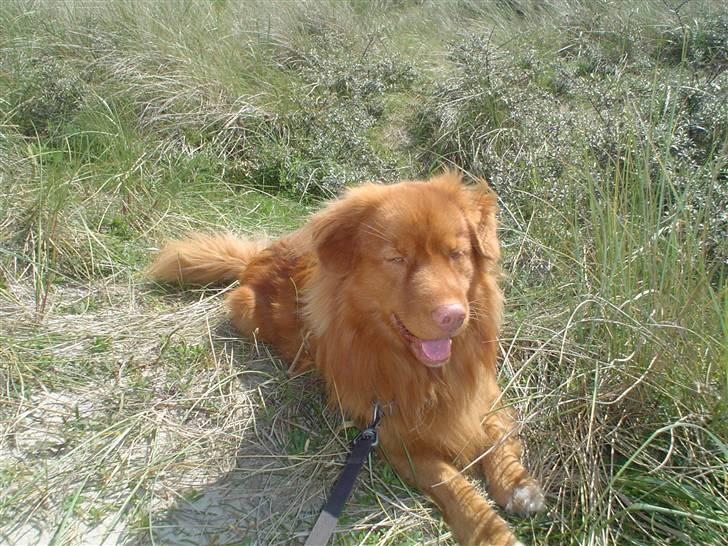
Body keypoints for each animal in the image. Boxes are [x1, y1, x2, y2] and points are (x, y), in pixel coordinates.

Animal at [149, 171, 544, 544]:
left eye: (456, 254)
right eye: (396, 258)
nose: (453, 316)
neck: (423, 372)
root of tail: (257, 257)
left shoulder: (483, 392)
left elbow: (497, 435)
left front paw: (517, 485)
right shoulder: (395, 439)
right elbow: (452, 483)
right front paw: (489, 532)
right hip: (248, 313)